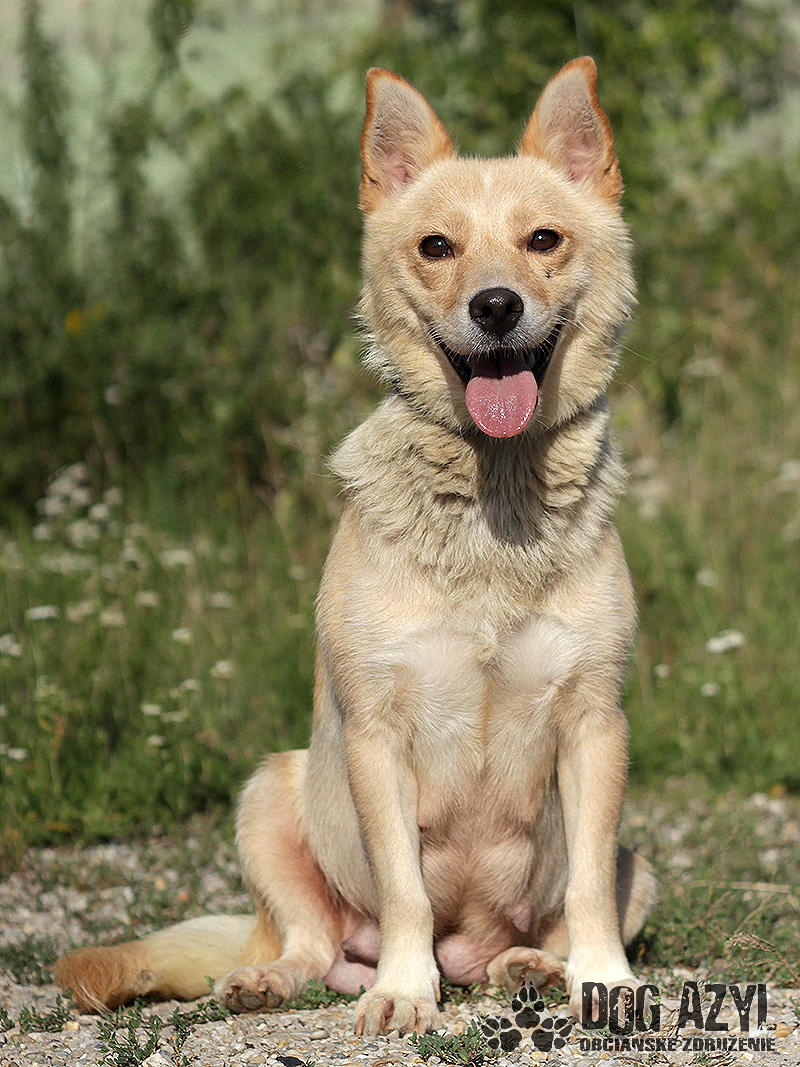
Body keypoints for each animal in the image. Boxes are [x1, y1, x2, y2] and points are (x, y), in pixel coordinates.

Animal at [53, 57, 655, 1036]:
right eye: (437, 247)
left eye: (544, 239)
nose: (497, 306)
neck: (490, 508)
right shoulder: (377, 732)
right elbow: (404, 889)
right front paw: (406, 992)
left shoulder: (597, 724)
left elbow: (590, 891)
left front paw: (604, 982)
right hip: (270, 789)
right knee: (313, 944)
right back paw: (273, 979)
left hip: (643, 863)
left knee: (541, 926)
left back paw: (526, 966)